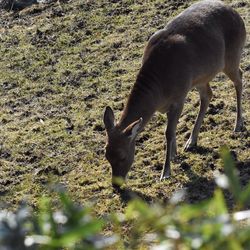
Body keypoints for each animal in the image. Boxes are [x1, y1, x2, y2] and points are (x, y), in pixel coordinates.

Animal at [102, 0, 245, 188]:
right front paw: (175, 153)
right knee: (208, 94)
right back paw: (191, 141)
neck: (159, 90)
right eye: (106, 154)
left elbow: (168, 132)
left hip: (231, 58)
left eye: (123, 156)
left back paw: (238, 125)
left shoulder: (179, 96)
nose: (116, 185)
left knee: (239, 79)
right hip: (201, 77)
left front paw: (165, 172)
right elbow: (173, 126)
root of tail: (238, 16)